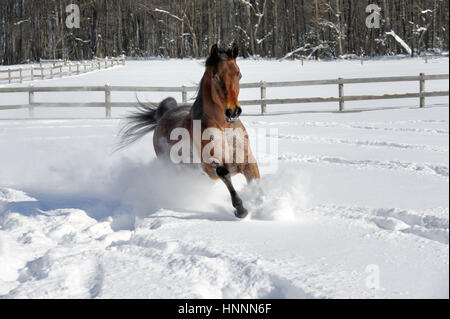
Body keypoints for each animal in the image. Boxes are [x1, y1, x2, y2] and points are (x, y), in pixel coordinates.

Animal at [118, 43, 260, 220]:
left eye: (239, 74)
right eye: (215, 76)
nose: (233, 112)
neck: (224, 128)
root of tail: (164, 115)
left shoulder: (247, 161)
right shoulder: (209, 167)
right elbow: (223, 173)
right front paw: (241, 210)